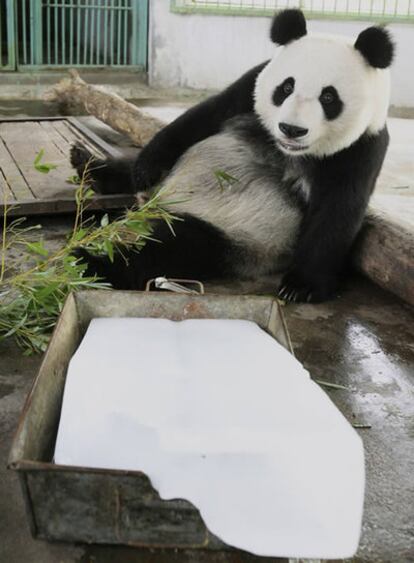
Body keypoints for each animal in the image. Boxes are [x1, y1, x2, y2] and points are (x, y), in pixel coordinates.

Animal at [72, 8, 394, 302]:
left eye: (329, 97)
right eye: (286, 87)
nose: (291, 129)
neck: (285, 149)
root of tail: (153, 205)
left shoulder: (360, 149)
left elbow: (337, 212)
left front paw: (301, 286)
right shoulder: (249, 88)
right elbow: (202, 117)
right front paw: (144, 167)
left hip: (239, 237)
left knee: (171, 248)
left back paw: (92, 263)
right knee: (131, 174)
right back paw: (89, 166)